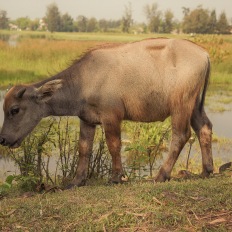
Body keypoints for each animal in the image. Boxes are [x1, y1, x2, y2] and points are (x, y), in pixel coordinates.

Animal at [0, 38, 214, 187]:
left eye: (14, 110)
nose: (2, 139)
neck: (84, 80)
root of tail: (204, 53)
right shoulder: (86, 119)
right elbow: (84, 149)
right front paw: (77, 181)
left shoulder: (111, 117)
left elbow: (113, 145)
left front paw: (116, 177)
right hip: (195, 104)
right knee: (204, 128)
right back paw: (206, 170)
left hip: (181, 105)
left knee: (181, 135)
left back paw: (161, 175)